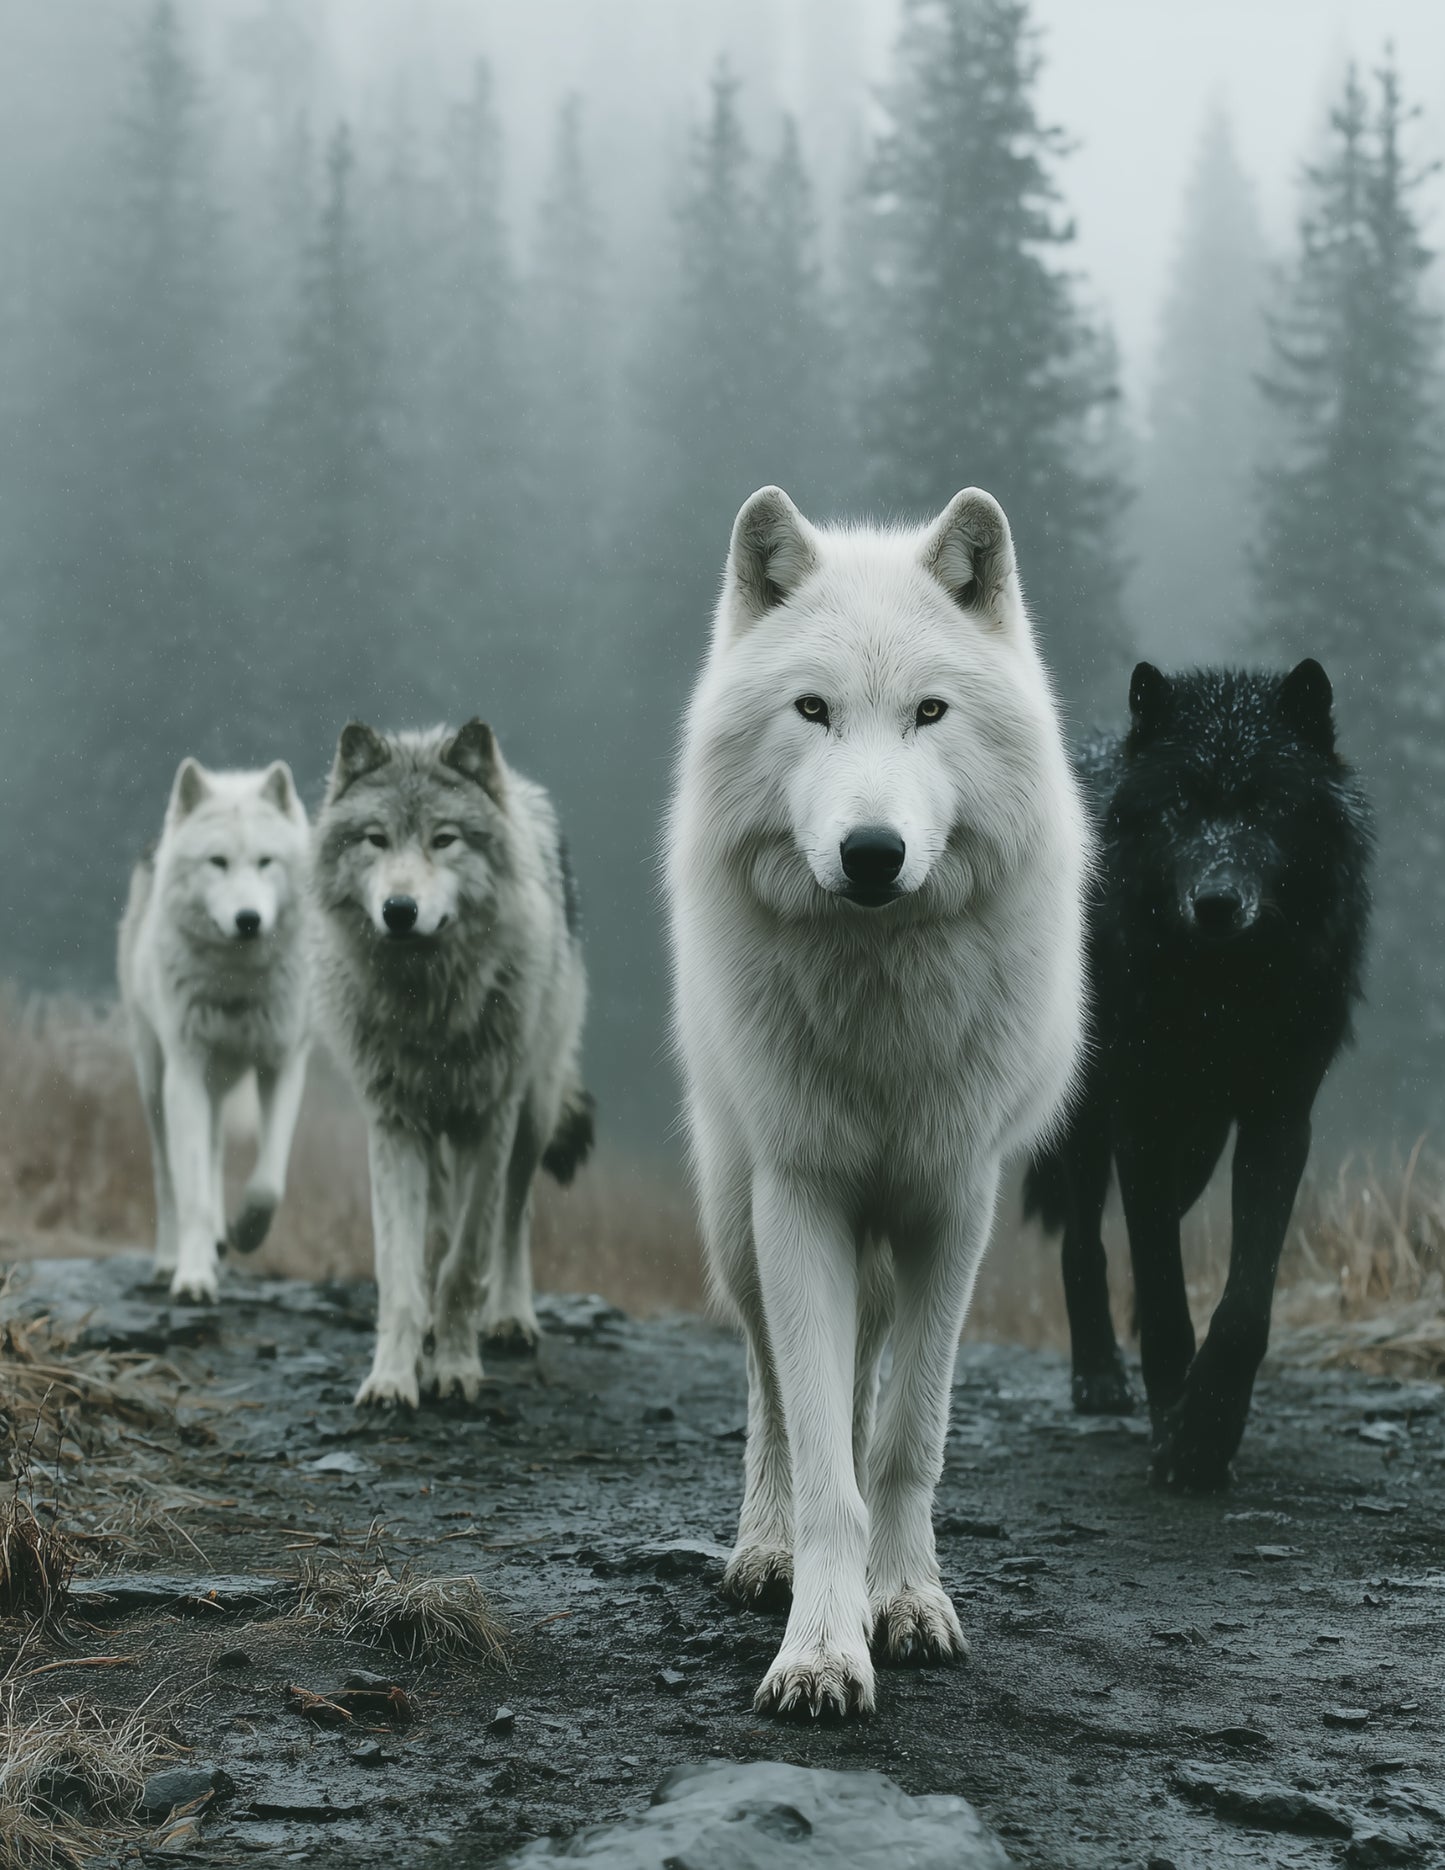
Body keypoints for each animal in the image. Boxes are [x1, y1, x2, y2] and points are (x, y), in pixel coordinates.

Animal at [118, 759, 313, 1305]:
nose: (249, 920)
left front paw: (245, 1232)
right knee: (169, 1176)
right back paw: (173, 1259)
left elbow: (268, 1184)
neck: (237, 984)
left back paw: (221, 1241)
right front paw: (193, 1277)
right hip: (157, 1084)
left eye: (266, 862)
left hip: (218, 1085)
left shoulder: (284, 1064)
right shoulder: (185, 1073)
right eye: (218, 863)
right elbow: (192, 1194)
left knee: (215, 1152)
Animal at [311, 720, 592, 1410]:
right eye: (377, 839)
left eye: (443, 839)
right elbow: (402, 1274)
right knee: (436, 1229)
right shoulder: (391, 1125)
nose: (399, 909)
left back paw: (510, 1318)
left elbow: (465, 1263)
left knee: (514, 1217)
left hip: (533, 1111)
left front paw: (458, 1369)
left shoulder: (489, 1121)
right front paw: (392, 1376)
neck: (428, 1008)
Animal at [667, 485, 1088, 1720]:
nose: (869, 851)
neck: (880, 995)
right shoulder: (801, 1195)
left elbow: (904, 1442)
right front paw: (819, 1645)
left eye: (928, 713)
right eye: (812, 710)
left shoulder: (952, 1204)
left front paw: (902, 1602)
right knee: (772, 1387)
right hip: (738, 1216)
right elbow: (821, 1460)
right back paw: (762, 1552)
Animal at [1025, 661, 1372, 1492]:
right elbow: (1159, 1286)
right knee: (1083, 1240)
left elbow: (1243, 1304)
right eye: (1180, 804)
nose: (1216, 903)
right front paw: (1177, 1435)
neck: (1222, 992)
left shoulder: (1277, 1119)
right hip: (1091, 1122)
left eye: (1268, 804)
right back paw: (1098, 1378)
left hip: (1201, 1143)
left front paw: (1205, 1429)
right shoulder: (1139, 1118)